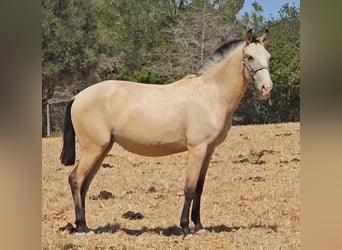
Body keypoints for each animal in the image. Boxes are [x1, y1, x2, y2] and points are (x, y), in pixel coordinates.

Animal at [58, 28, 272, 236]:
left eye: (268, 56)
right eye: (250, 57)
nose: (266, 89)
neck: (209, 95)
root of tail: (77, 97)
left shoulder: (208, 150)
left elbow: (199, 188)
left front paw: (199, 226)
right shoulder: (197, 149)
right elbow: (189, 188)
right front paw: (185, 228)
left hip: (102, 149)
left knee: (84, 184)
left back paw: (84, 226)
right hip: (93, 149)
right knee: (75, 180)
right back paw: (82, 228)